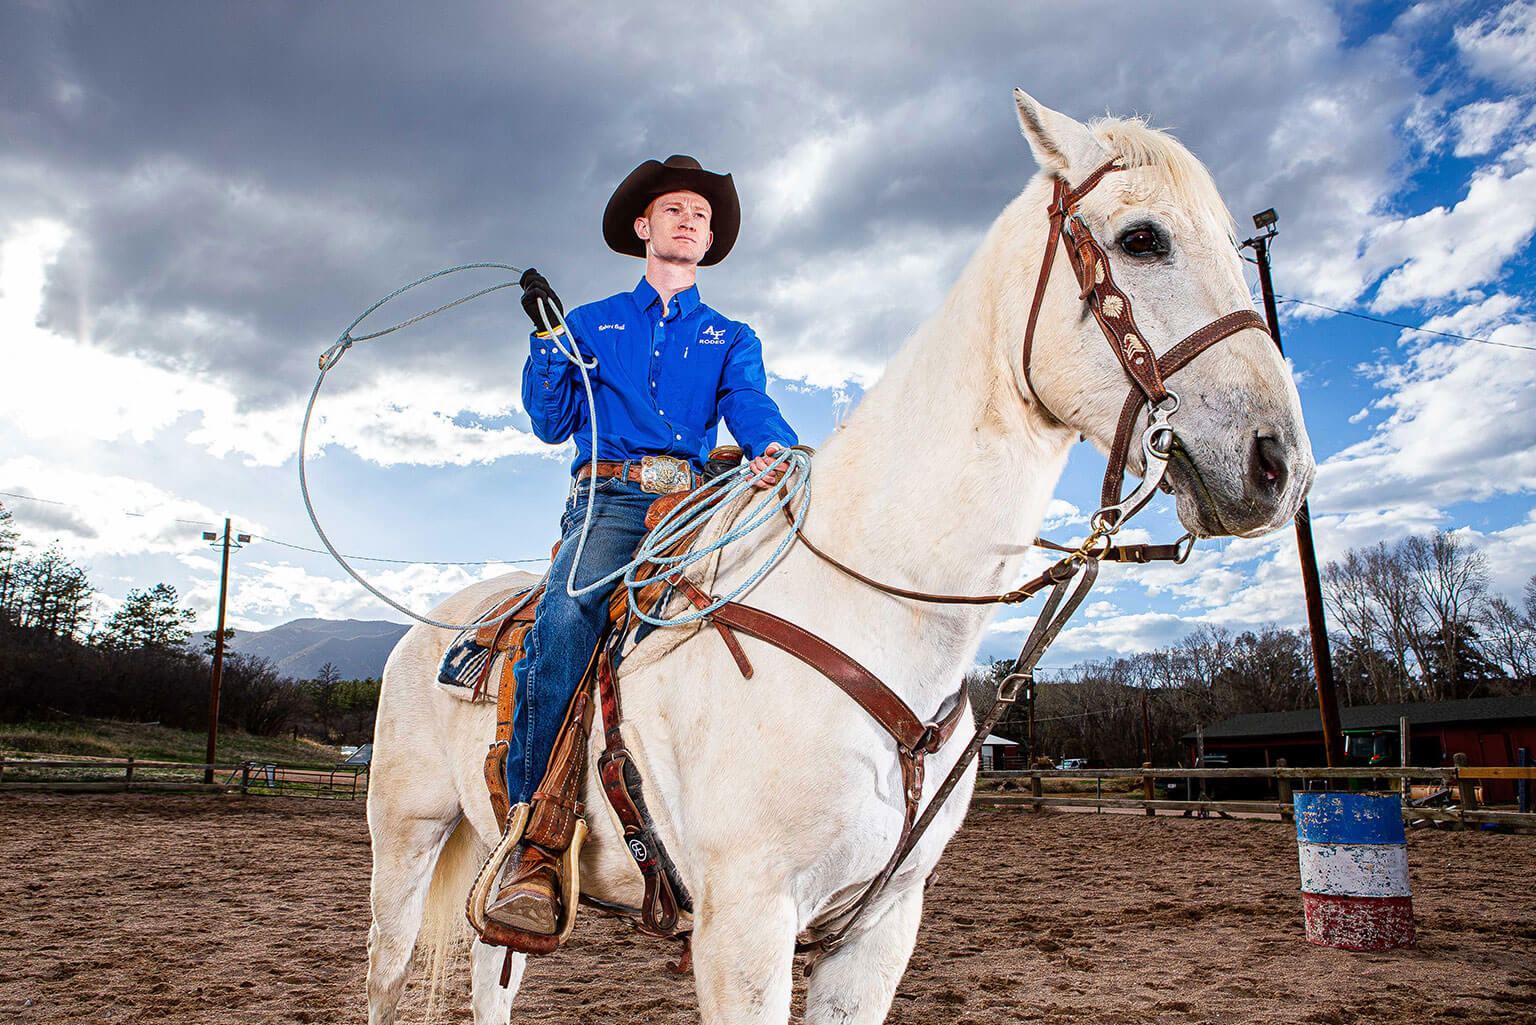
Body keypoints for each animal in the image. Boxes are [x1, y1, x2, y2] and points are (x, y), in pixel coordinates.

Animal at [359, 90, 1308, 1025]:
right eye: (1143, 238)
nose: (1280, 464)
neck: (878, 605)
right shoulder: (747, 925)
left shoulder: (880, 928)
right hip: (405, 836)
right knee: (388, 970)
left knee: (493, 972)